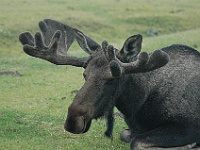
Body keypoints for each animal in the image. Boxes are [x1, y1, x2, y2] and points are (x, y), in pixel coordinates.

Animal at [19, 19, 200, 149]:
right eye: (84, 74)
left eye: (112, 78)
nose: (72, 121)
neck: (136, 105)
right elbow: (125, 135)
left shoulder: (188, 126)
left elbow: (137, 142)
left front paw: (189, 145)